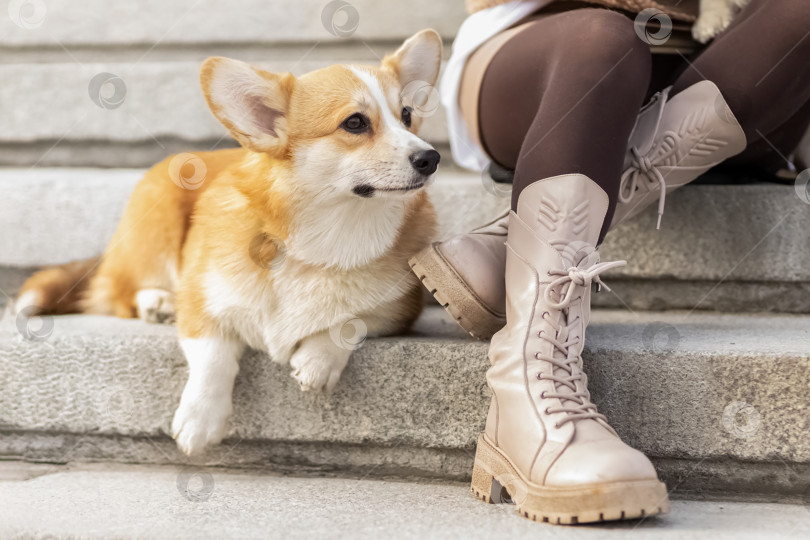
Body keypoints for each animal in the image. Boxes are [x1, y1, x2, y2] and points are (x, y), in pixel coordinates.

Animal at [14, 29, 442, 456]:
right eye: (354, 123)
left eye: (406, 116)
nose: (431, 158)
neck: (325, 239)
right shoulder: (202, 302)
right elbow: (213, 356)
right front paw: (200, 419)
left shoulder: (402, 307)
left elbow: (353, 319)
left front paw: (318, 360)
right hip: (155, 222)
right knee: (122, 293)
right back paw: (158, 303)